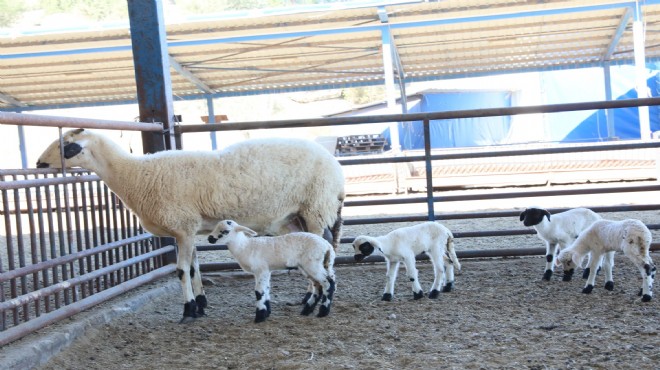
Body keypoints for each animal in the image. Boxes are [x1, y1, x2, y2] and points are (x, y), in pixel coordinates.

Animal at [209, 220, 338, 320]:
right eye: (215, 227)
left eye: (225, 231)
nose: (210, 238)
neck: (245, 247)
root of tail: (327, 246)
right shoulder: (266, 271)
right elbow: (266, 289)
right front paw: (266, 313)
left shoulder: (261, 270)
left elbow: (259, 291)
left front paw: (260, 317)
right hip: (309, 266)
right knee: (318, 286)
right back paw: (306, 310)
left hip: (313, 264)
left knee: (328, 283)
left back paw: (323, 312)